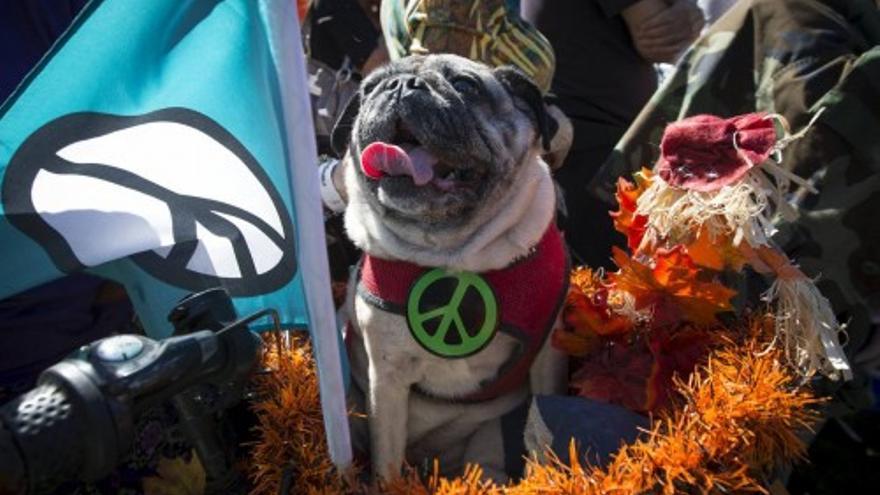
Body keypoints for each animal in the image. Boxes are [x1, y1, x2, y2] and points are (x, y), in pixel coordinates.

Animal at [332, 55, 572, 484]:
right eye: (370, 88)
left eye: (465, 85)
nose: (400, 86)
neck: (451, 254)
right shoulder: (386, 379)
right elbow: (386, 461)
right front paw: (391, 487)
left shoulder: (548, 357)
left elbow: (545, 423)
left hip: (489, 440)